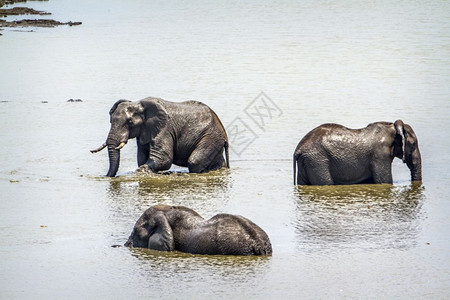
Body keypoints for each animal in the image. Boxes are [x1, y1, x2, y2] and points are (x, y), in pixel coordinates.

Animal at [90, 96, 229, 177]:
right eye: (110, 121)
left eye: (130, 122)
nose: (107, 177)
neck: (139, 103)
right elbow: (142, 157)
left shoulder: (164, 129)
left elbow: (163, 158)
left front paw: (142, 171)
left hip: (210, 137)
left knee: (194, 162)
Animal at [292, 119, 422, 185]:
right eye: (413, 144)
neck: (391, 127)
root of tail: (298, 149)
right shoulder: (379, 155)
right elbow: (384, 181)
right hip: (317, 160)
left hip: (307, 161)